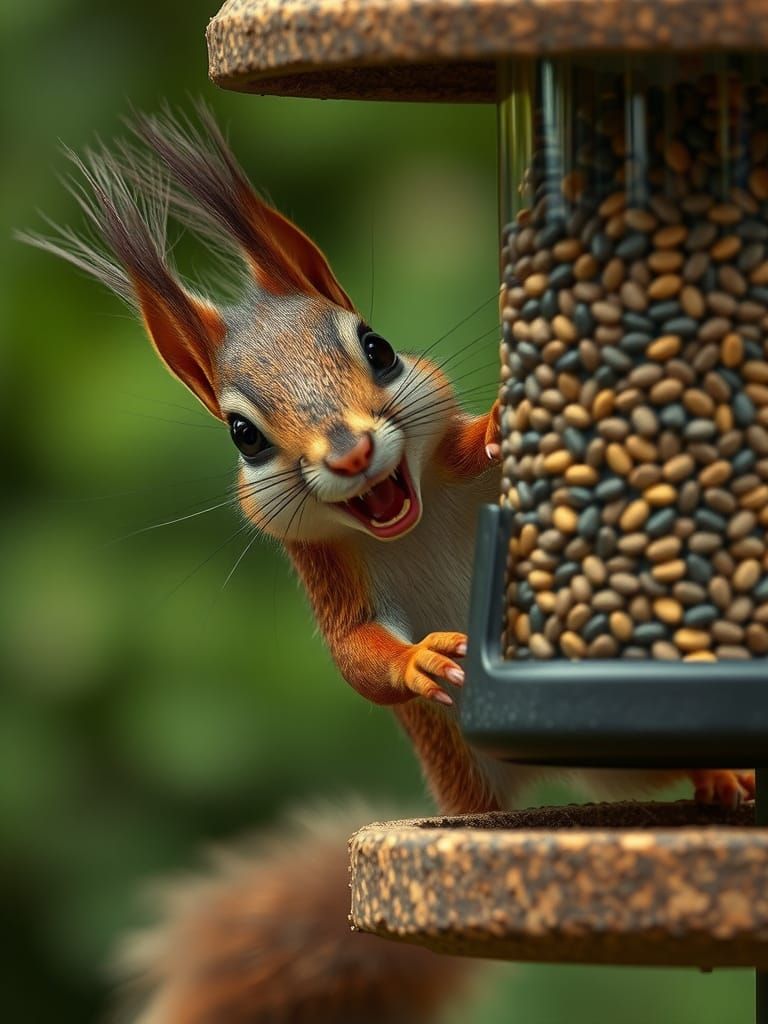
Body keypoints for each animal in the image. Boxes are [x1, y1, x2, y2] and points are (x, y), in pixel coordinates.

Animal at [23, 106, 755, 1023]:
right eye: (243, 434)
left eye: (378, 347)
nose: (350, 451)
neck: (407, 520)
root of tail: (555, 782)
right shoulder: (328, 571)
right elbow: (355, 654)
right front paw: (420, 661)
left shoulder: (451, 463)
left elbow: (470, 446)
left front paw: (504, 423)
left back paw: (721, 767)